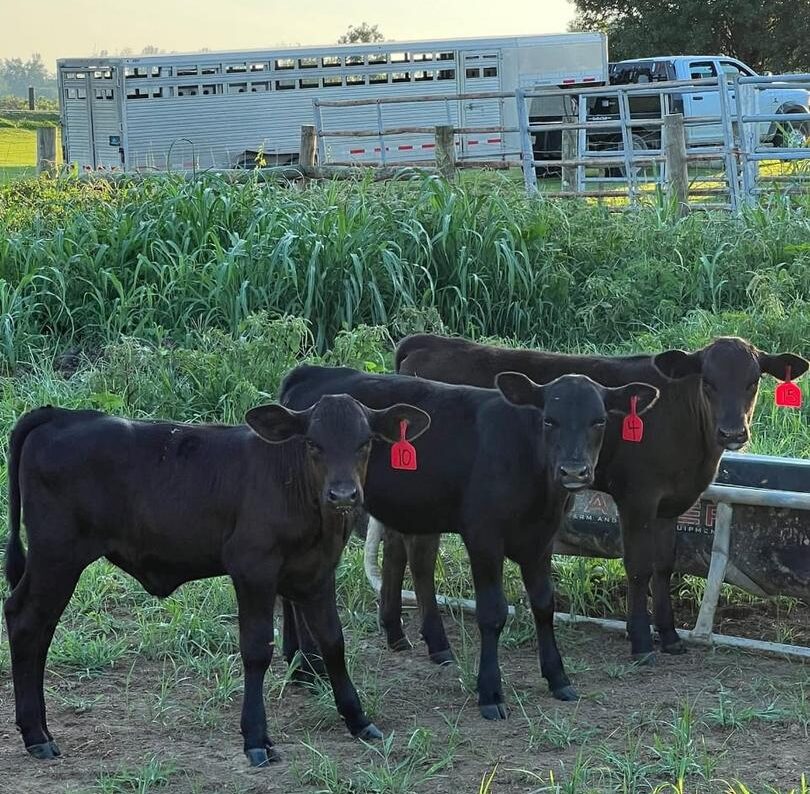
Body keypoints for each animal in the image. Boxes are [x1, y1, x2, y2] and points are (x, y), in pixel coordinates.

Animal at [3, 395, 430, 766]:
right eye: (313, 443)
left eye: (365, 442)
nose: (342, 495)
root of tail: (60, 415)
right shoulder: (252, 569)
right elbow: (257, 649)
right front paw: (256, 738)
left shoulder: (318, 574)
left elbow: (333, 643)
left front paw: (358, 720)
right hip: (57, 556)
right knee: (26, 622)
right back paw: (36, 736)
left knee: (36, 627)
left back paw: (38, 730)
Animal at [280, 364, 660, 719]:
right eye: (549, 420)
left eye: (599, 421)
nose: (573, 471)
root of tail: (310, 372)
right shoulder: (484, 537)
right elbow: (492, 613)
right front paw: (490, 692)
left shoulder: (541, 541)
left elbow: (544, 605)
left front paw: (558, 678)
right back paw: (307, 668)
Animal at [380, 333, 808, 664]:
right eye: (708, 382)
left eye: (754, 381)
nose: (732, 432)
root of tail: (428, 341)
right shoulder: (637, 496)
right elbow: (638, 567)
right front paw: (641, 642)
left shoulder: (670, 505)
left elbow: (664, 566)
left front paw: (670, 637)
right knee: (415, 553)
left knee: (394, 544)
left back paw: (395, 631)